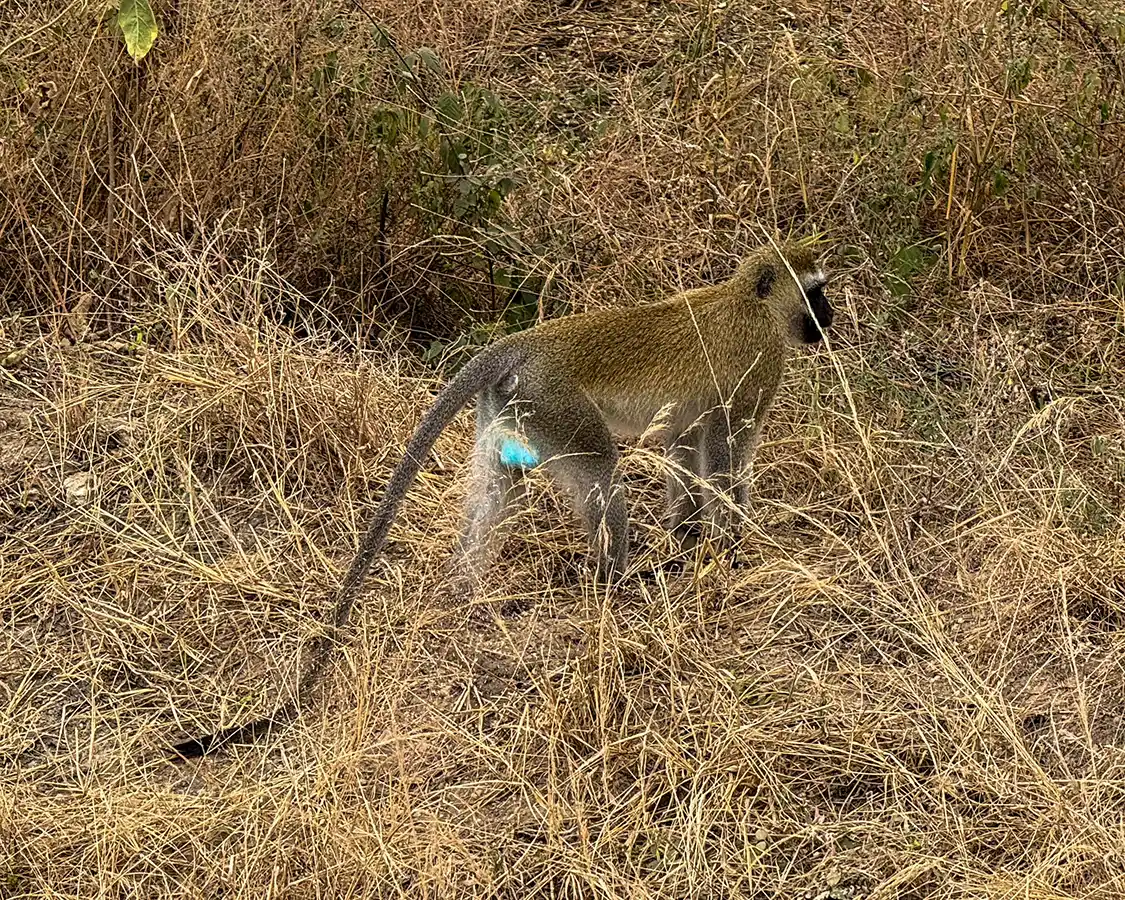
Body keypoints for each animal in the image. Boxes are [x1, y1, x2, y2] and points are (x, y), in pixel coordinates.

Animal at [169, 238, 832, 759]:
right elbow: (723, 458)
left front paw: (689, 537)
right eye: (814, 291)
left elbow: (683, 449)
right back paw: (613, 582)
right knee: (601, 474)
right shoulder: (757, 371)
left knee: (497, 488)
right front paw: (733, 544)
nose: (829, 320)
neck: (749, 301)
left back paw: (463, 589)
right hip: (559, 407)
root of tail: (528, 343)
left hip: (514, 410)